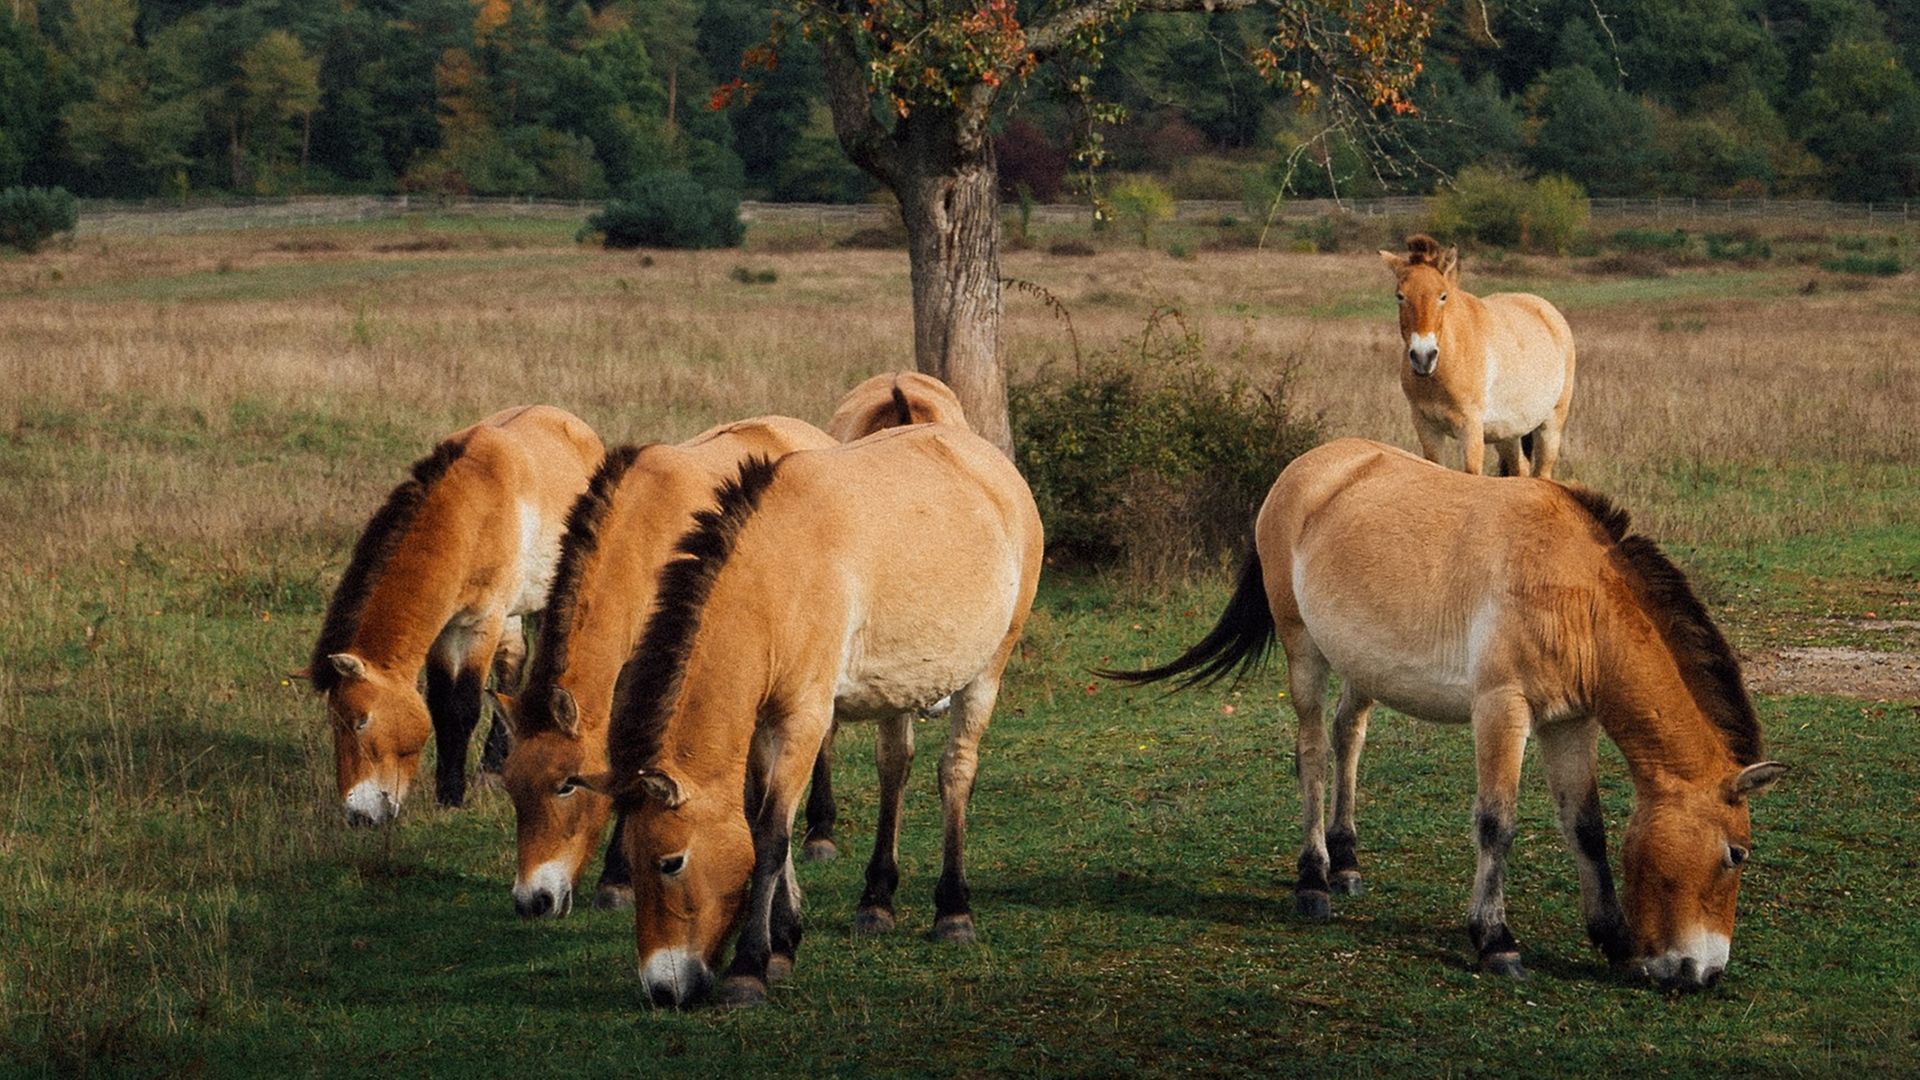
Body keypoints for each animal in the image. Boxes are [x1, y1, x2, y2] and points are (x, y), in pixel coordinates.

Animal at [309, 405, 603, 827]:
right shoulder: (445, 629)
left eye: (361, 720)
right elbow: (441, 705)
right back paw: (492, 768)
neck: (471, 513)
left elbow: (462, 706)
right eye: (334, 723)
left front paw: (451, 795)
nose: (358, 816)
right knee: (512, 665)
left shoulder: (480, 625)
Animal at [501, 416, 837, 919]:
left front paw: (616, 880)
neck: (639, 540)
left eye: (566, 785)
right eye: (511, 787)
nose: (532, 901)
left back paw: (822, 834)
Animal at [577, 423, 1042, 1008]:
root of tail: (991, 463)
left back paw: (953, 912)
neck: (774, 579)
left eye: (671, 862)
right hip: (899, 686)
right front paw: (784, 942)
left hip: (987, 671)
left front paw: (750, 969)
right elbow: (759, 817)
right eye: (630, 865)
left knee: (955, 771)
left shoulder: (804, 721)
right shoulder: (761, 724)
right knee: (894, 766)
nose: (663, 989)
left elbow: (772, 834)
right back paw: (876, 901)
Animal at [1101, 438, 1786, 990]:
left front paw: (1615, 943)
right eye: (1737, 854)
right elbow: (1497, 823)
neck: (1576, 594)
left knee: (1349, 736)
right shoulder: (1502, 708)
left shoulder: (1570, 724)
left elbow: (1585, 827)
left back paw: (1347, 863)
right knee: (1313, 755)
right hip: (1305, 652)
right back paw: (1315, 880)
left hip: (1364, 665)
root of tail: (1304, 470)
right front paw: (1495, 942)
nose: (1703, 974)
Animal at [1380, 235, 1576, 478]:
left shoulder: (1470, 428)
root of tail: (1549, 311)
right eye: (1400, 296)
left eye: (1443, 296)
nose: (1423, 357)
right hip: (1508, 434)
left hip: (1550, 426)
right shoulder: (1427, 427)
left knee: (1541, 473)